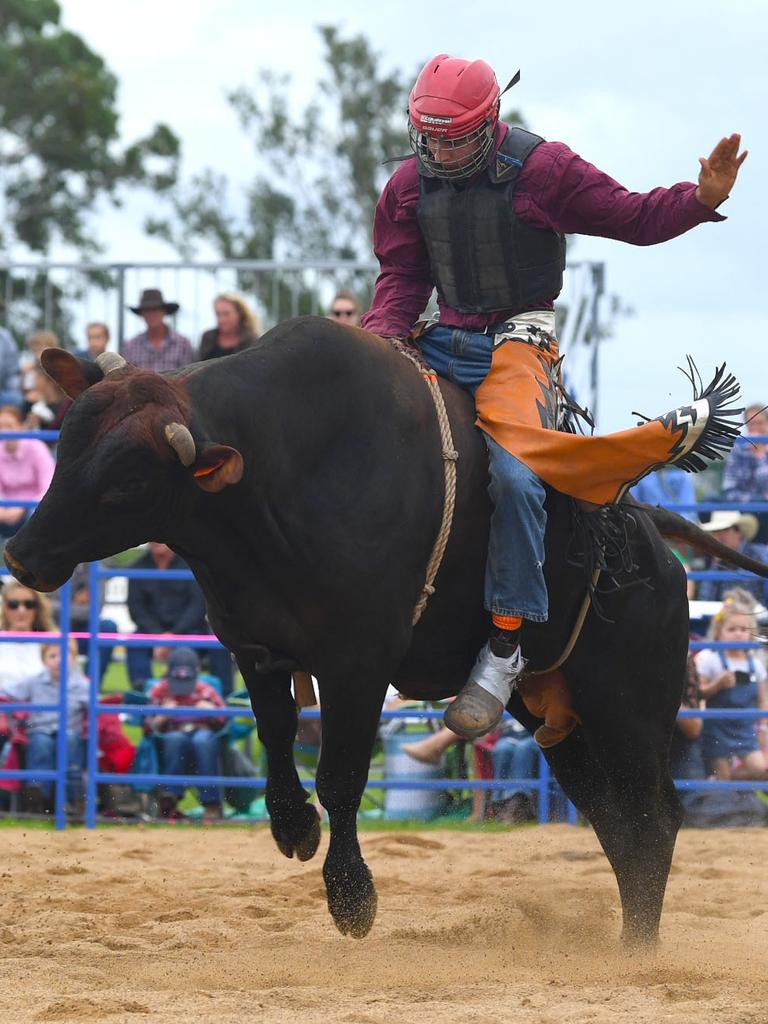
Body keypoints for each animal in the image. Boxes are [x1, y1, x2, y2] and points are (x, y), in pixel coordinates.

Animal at [6, 317, 768, 942]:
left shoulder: (359, 661)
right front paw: (292, 825)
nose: (21, 554)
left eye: (128, 483)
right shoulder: (255, 647)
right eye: (67, 443)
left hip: (631, 706)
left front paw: (352, 897)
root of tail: (648, 531)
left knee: (653, 817)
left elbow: (342, 776)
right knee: (614, 819)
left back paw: (638, 947)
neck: (271, 482)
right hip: (561, 717)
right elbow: (277, 736)